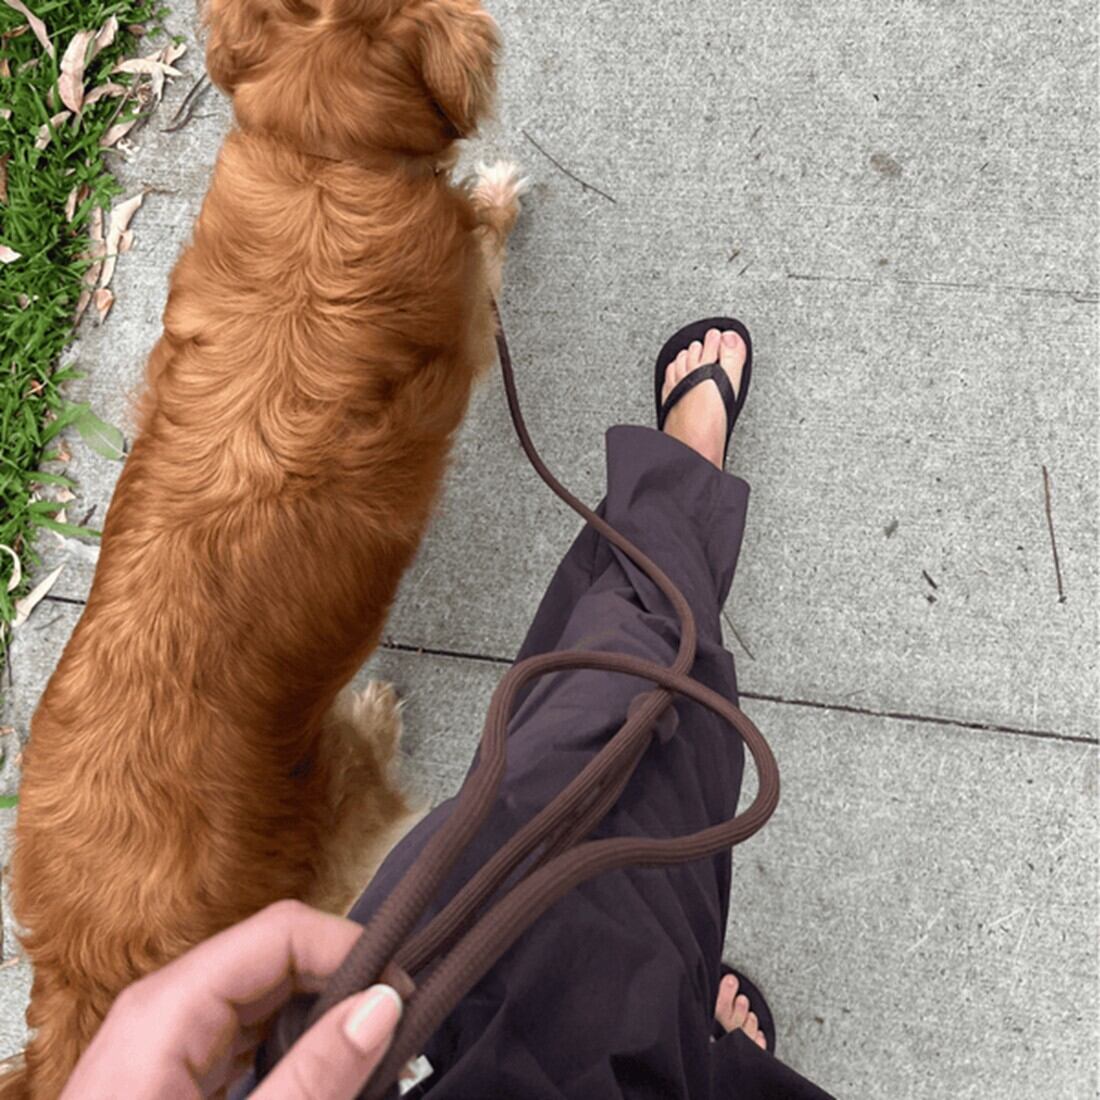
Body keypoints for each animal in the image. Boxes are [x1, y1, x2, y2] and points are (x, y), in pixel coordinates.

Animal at [0, 0, 523, 1094]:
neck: (320, 163)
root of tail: (87, 962)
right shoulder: (464, 287)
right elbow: (487, 234)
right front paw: (498, 191)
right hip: (329, 824)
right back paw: (374, 717)